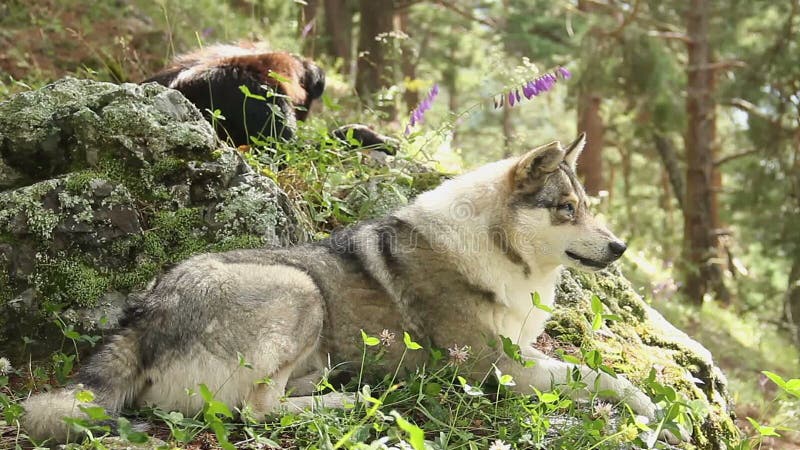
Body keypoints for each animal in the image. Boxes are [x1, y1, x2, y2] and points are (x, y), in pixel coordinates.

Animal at [23, 134, 664, 442]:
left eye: (586, 207)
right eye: (566, 209)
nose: (619, 248)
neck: (495, 246)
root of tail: (145, 312)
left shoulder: (520, 353)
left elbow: (596, 373)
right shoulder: (495, 370)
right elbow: (603, 376)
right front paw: (650, 407)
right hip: (299, 288)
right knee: (257, 411)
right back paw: (351, 401)